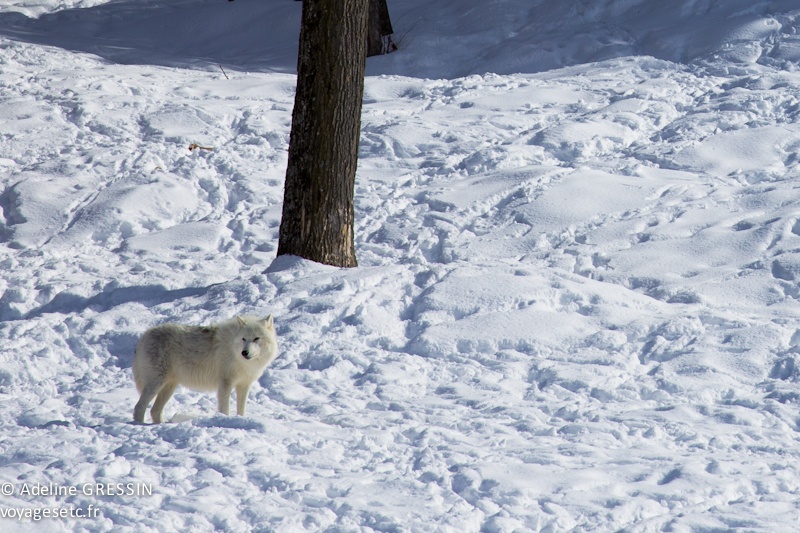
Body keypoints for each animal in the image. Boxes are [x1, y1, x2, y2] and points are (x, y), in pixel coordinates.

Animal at [132, 315, 278, 423]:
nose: (245, 352)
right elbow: (225, 409)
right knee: (139, 407)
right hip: (155, 384)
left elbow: (241, 410)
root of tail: (144, 336)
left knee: (154, 411)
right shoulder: (225, 384)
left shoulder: (244, 385)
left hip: (169, 387)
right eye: (244, 339)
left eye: (256, 339)